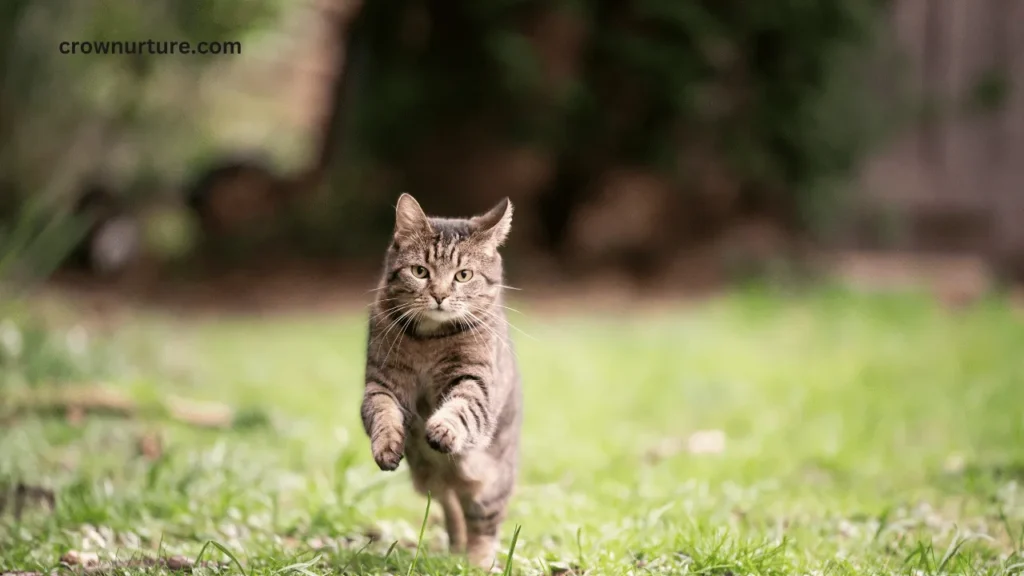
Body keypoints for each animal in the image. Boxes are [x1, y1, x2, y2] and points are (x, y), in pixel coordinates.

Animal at [358, 191, 520, 565]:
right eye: (420, 271)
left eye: (463, 275)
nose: (440, 296)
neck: (429, 340)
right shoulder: (382, 382)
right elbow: (382, 413)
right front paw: (386, 444)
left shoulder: (476, 381)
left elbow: (462, 407)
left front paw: (443, 428)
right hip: (427, 478)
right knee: (451, 507)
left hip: (490, 486)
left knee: (483, 525)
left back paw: (477, 562)